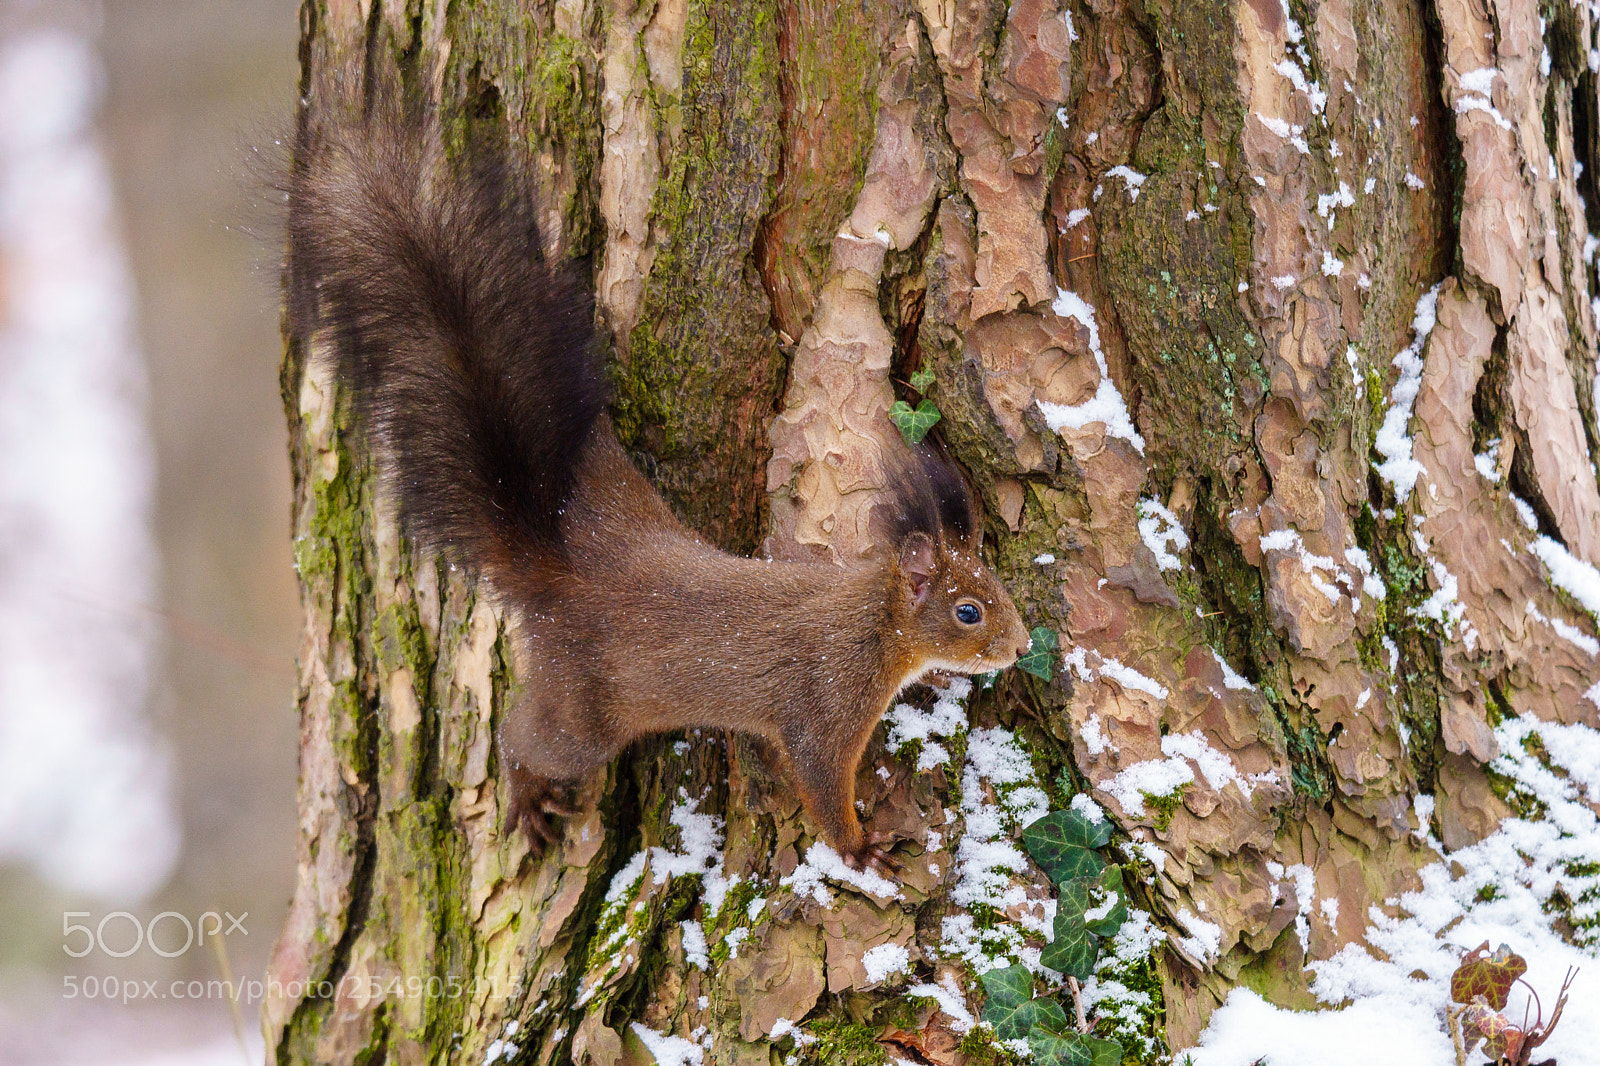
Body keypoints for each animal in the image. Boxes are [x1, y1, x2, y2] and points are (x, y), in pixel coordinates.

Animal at [285, 100, 1031, 872]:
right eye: (969, 612)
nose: (1020, 647)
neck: (869, 624)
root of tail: (564, 572)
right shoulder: (824, 710)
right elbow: (823, 788)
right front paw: (864, 851)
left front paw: (935, 678)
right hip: (581, 716)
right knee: (523, 740)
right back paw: (526, 795)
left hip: (606, 483)